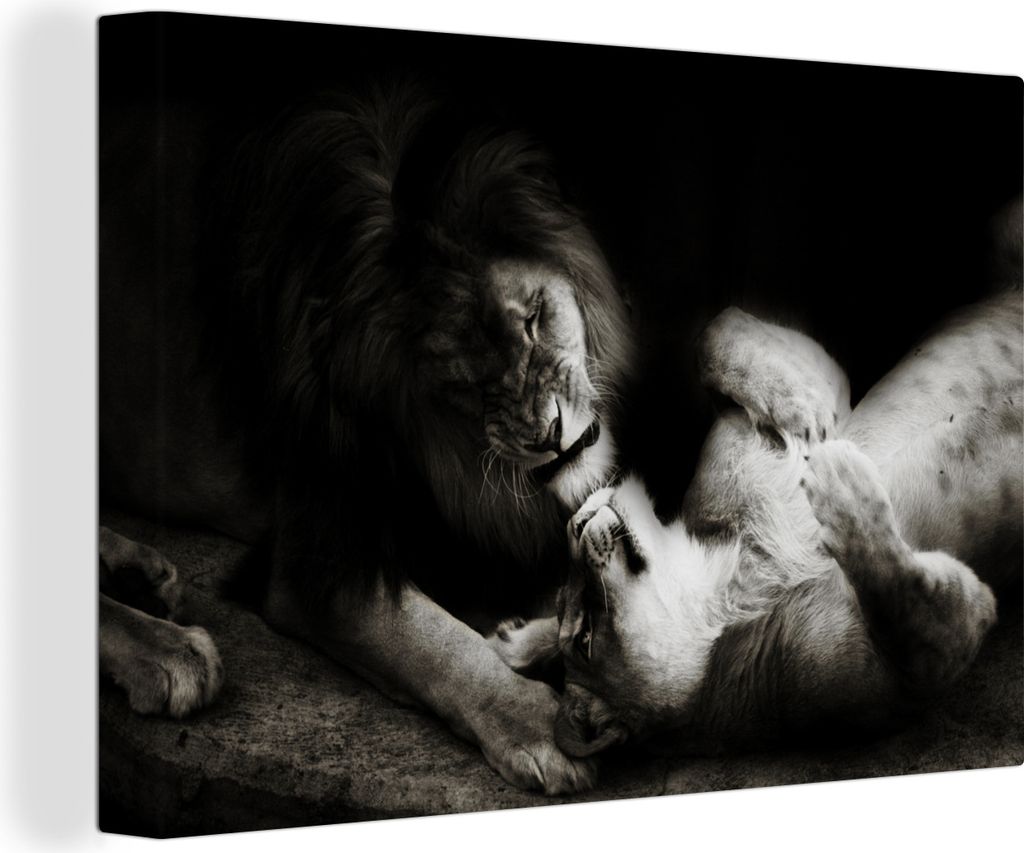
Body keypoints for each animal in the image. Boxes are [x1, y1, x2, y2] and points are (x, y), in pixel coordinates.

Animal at [99, 83, 633, 793]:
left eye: (532, 319)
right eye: (464, 382)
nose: (549, 434)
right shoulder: (319, 556)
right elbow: (436, 642)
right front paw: (541, 725)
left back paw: (141, 572)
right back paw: (168, 649)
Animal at [490, 269, 1022, 759]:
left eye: (578, 624)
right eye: (583, 639)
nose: (574, 523)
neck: (734, 582)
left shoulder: (814, 387)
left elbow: (716, 328)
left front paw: (798, 406)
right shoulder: (922, 666)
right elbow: (900, 591)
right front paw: (840, 478)